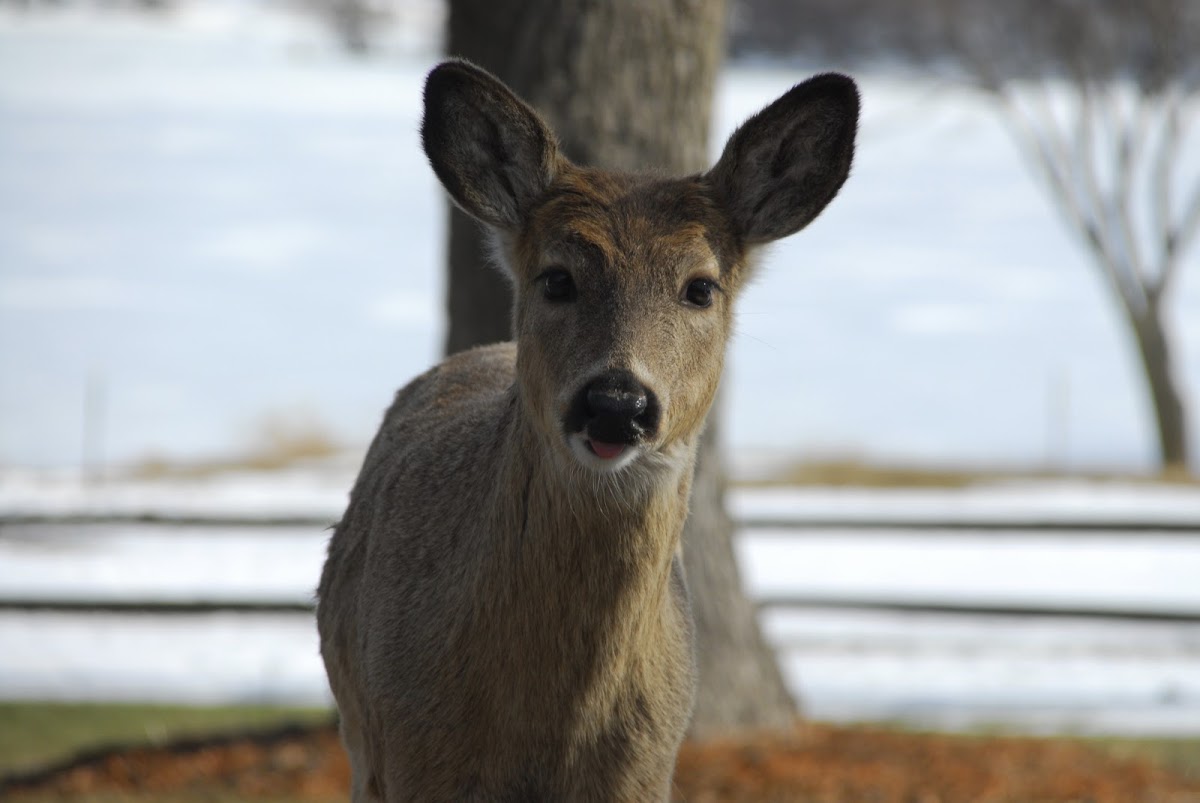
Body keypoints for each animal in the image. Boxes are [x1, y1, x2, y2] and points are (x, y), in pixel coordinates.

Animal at [316, 59, 864, 796]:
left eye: (701, 287)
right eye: (556, 278)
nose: (615, 403)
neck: (547, 729)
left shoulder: (645, 770)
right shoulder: (411, 756)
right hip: (361, 743)